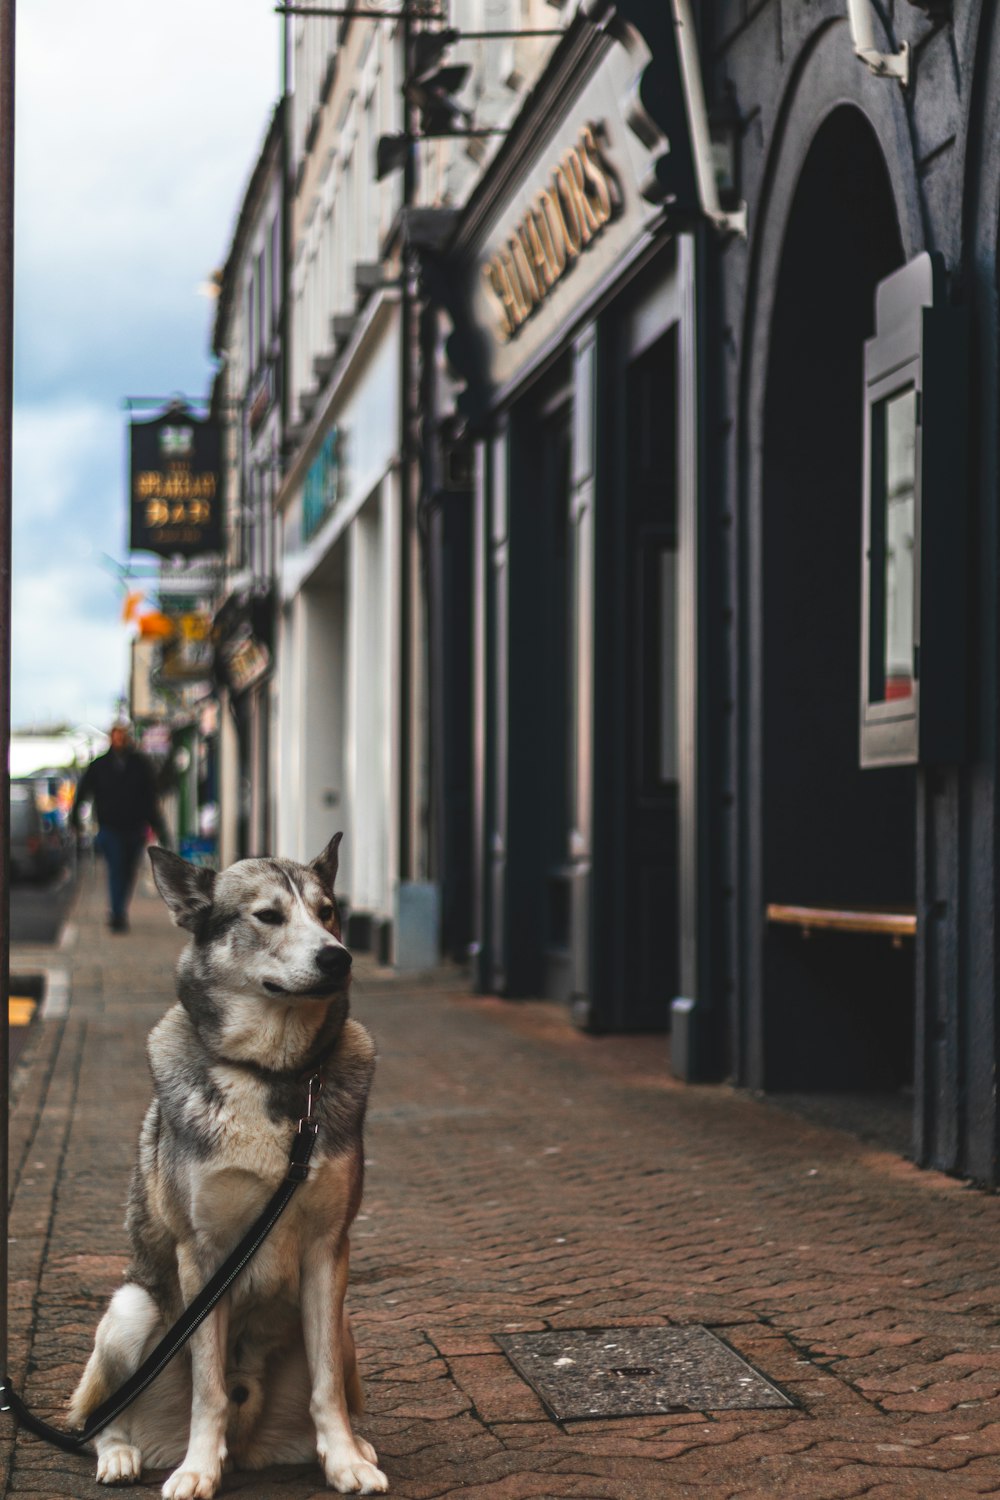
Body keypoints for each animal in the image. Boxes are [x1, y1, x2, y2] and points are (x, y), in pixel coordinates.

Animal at [67, 840, 386, 1494]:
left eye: (328, 912)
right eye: (268, 916)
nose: (337, 956)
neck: (272, 1074)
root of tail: (247, 1447)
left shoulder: (328, 1250)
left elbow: (326, 1388)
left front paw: (344, 1460)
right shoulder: (204, 1253)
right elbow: (208, 1386)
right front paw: (196, 1470)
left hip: (344, 1327)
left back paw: (349, 1447)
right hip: (131, 1310)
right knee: (99, 1420)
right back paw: (123, 1456)